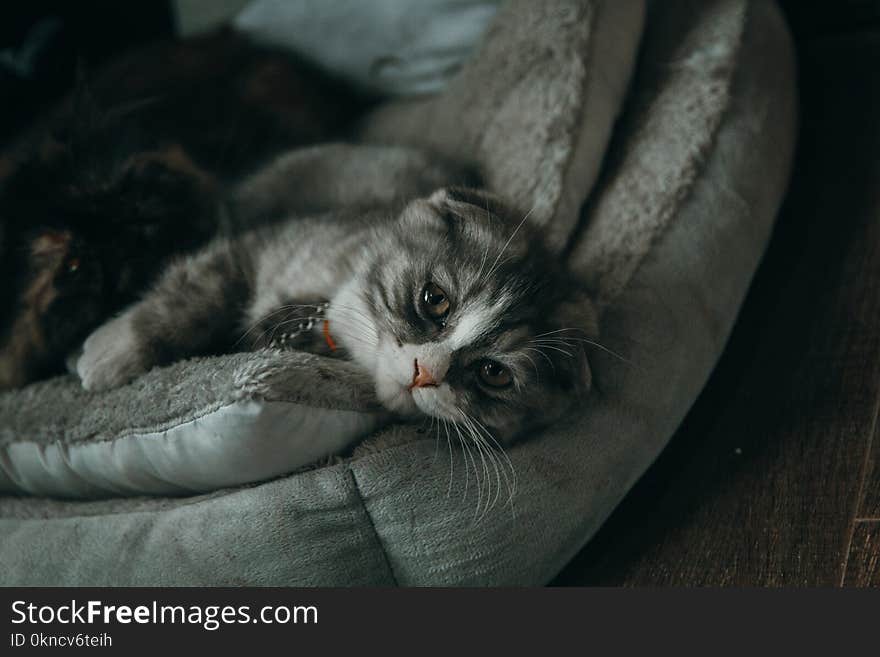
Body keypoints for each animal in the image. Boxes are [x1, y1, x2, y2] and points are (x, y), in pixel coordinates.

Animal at [75, 142, 600, 444]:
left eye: (494, 374)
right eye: (435, 299)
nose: (424, 373)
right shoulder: (256, 248)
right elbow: (189, 297)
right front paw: (110, 354)